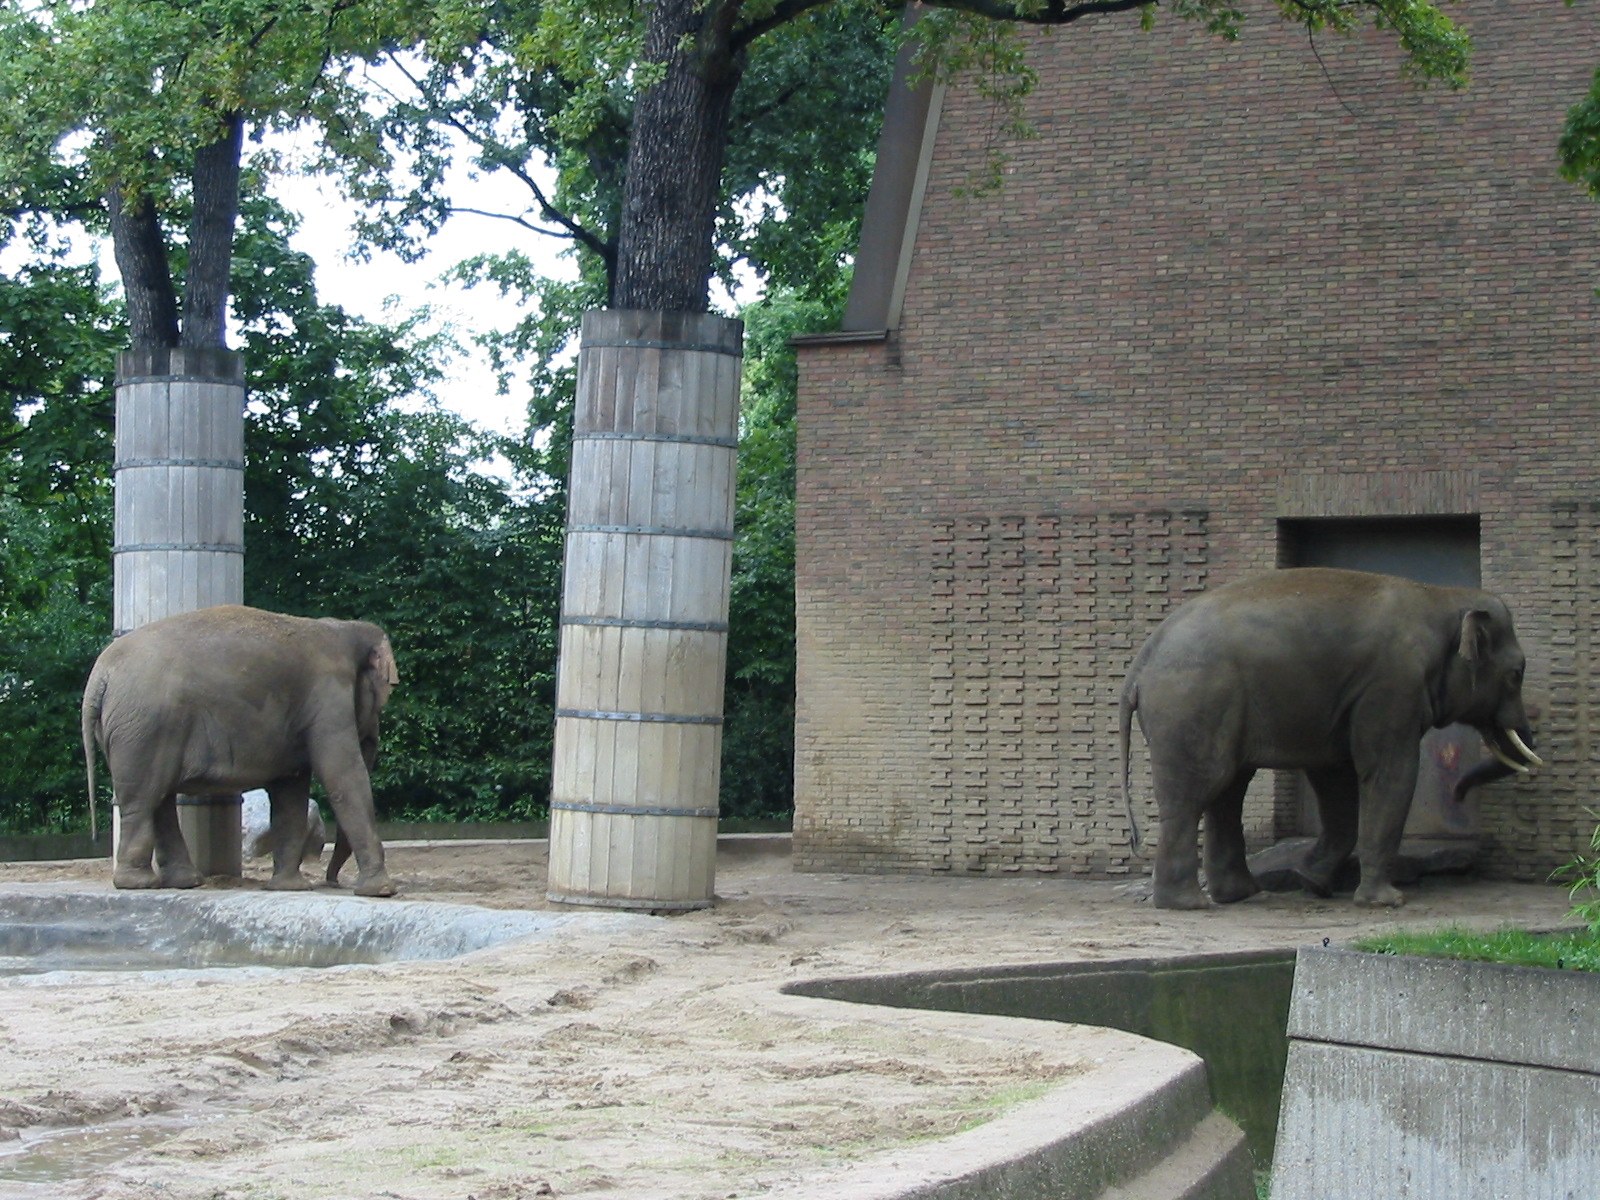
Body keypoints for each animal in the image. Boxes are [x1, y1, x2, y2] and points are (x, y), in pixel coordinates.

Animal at [82, 605, 400, 897]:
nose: (332, 882)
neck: (344, 628)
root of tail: (99, 675)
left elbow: (291, 791)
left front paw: (289, 888)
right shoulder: (328, 694)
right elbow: (343, 774)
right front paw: (381, 891)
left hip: (140, 729)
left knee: (159, 799)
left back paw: (184, 882)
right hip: (145, 727)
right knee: (143, 799)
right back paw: (139, 884)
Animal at [1117, 568, 1540, 910]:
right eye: (1516, 674)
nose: (1457, 793)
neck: (1441, 595)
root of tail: (1139, 665)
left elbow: (1334, 777)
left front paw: (1313, 883)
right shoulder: (1392, 686)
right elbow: (1390, 771)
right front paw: (1387, 902)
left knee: (1228, 791)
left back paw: (1242, 895)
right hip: (1192, 702)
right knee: (1198, 791)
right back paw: (1188, 904)